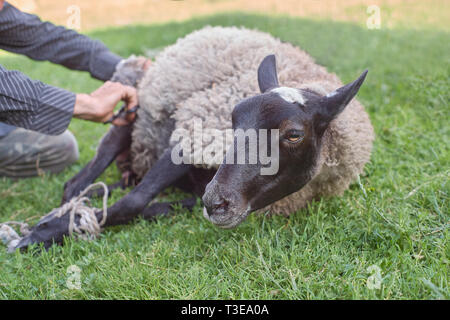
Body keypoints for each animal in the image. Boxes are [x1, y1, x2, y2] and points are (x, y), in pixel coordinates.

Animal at [14, 25, 374, 250]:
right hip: (132, 117)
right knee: (76, 183)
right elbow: (134, 202)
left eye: (294, 134)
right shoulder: (192, 136)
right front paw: (45, 232)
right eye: (233, 116)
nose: (216, 202)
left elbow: (147, 205)